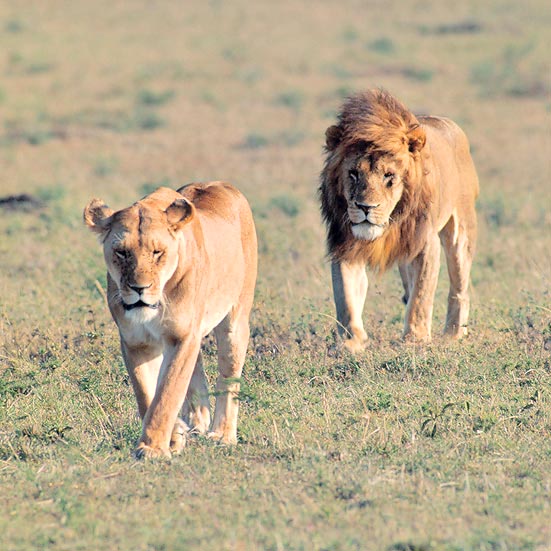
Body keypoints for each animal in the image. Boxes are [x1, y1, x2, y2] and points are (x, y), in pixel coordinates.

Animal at [83, 181, 258, 458]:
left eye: (157, 252)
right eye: (122, 252)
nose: (139, 288)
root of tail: (220, 184)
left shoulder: (182, 336)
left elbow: (167, 392)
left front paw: (153, 449)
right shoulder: (136, 342)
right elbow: (146, 394)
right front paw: (174, 436)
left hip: (235, 320)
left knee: (229, 376)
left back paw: (222, 435)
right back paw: (197, 424)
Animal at [320, 88, 478, 352]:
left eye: (389, 176)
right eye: (353, 174)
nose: (365, 207)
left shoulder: (425, 243)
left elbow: (421, 295)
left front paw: (415, 339)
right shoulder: (346, 243)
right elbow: (346, 296)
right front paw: (351, 342)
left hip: (460, 229)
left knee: (459, 285)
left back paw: (454, 333)